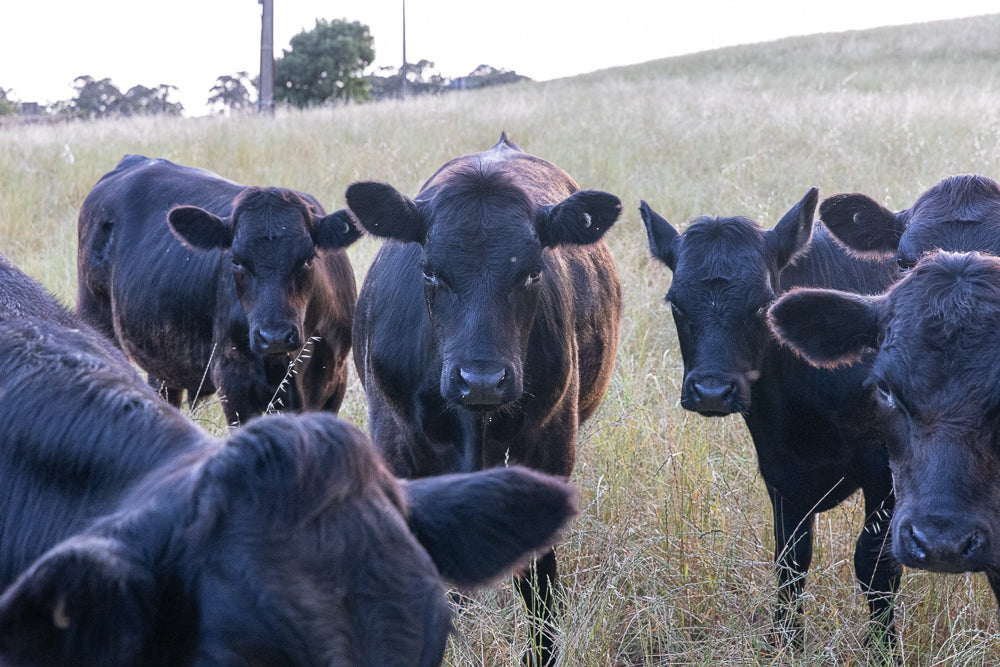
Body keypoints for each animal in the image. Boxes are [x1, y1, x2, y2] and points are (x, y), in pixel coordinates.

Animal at [345, 133, 623, 665]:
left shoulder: (548, 448)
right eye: (431, 272)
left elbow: (539, 583)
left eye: (532, 273)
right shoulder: (396, 446)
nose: (481, 380)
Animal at [639, 189, 902, 648]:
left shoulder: (884, 467)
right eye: (676, 303)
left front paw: (883, 648)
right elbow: (791, 562)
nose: (712, 391)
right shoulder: (780, 471)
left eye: (764, 304)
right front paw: (786, 642)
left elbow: (875, 565)